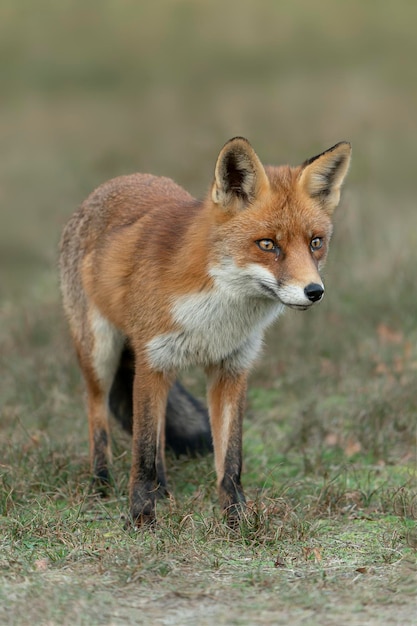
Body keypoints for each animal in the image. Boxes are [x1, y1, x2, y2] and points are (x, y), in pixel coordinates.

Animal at [59, 138, 352, 528]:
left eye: (315, 242)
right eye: (267, 244)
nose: (314, 291)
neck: (216, 318)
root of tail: (117, 181)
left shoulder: (231, 368)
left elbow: (230, 459)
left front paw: (237, 519)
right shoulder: (153, 362)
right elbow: (142, 453)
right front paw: (141, 519)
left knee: (159, 432)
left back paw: (164, 490)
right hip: (101, 354)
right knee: (98, 416)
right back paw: (102, 483)